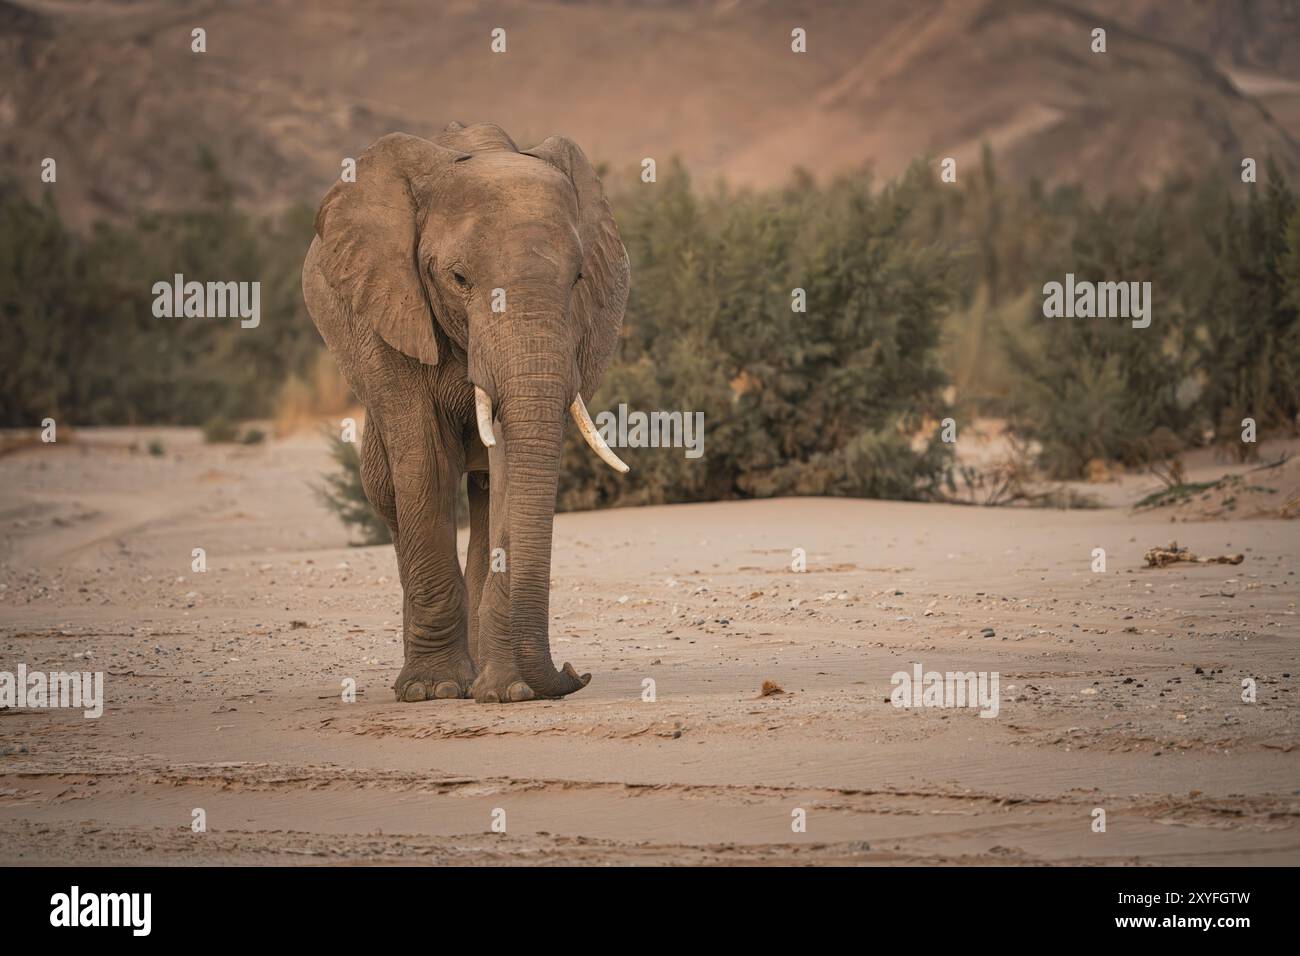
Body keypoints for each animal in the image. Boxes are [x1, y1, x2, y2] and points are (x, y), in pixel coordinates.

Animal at [301, 121, 631, 702]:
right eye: (458, 279)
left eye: (577, 281)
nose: (575, 674)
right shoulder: (388, 307)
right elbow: (425, 463)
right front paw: (432, 690)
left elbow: (507, 474)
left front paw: (505, 691)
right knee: (386, 490)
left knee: (479, 490)